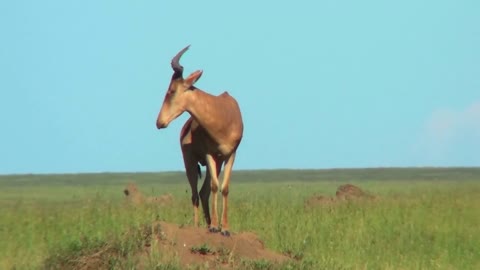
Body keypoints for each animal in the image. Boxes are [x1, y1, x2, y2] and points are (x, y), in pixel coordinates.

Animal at [157, 46, 242, 236]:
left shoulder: (231, 155)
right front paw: (215, 227)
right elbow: (215, 187)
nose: (159, 122)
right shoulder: (209, 154)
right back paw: (199, 227)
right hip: (190, 161)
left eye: (171, 90)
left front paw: (225, 228)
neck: (222, 113)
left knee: (203, 193)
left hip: (217, 162)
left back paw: (210, 224)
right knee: (195, 194)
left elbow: (224, 188)